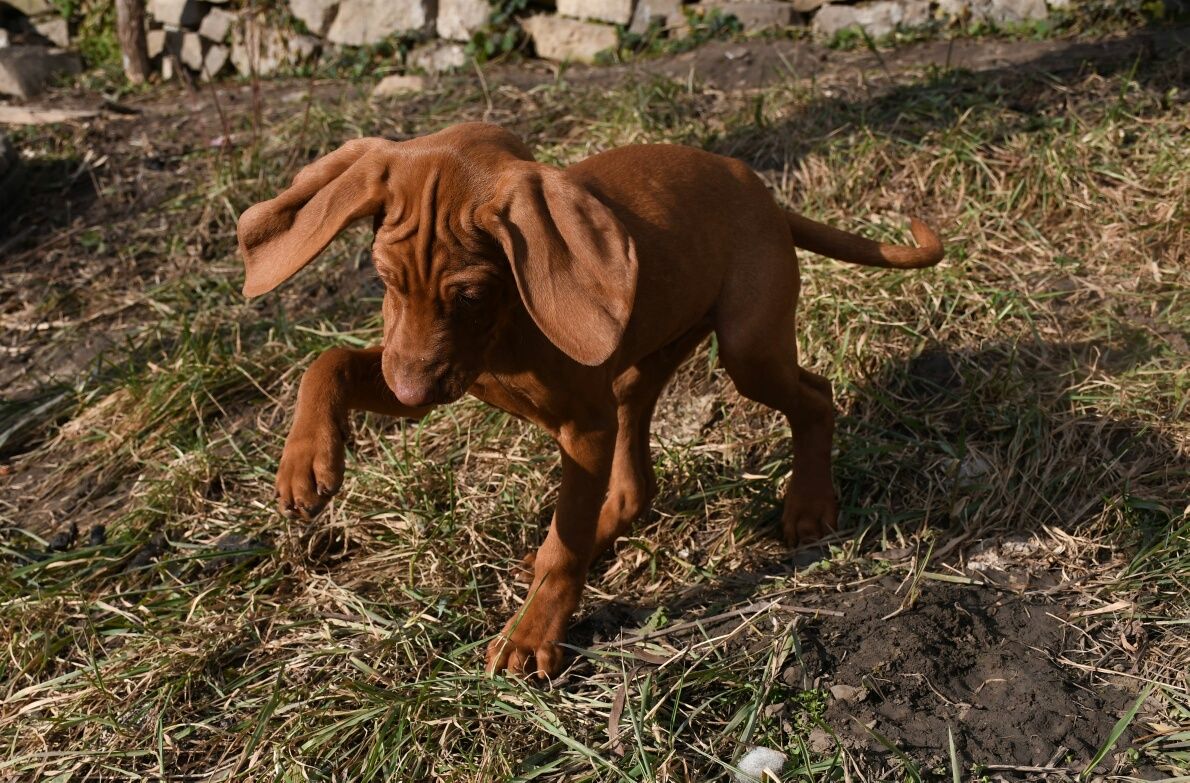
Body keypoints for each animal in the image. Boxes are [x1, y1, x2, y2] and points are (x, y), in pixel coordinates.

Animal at [236, 121, 942, 675]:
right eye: (384, 279)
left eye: (469, 295)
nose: (410, 383)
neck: (508, 326)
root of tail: (760, 191)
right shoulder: (426, 373)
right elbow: (328, 362)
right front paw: (305, 463)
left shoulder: (580, 427)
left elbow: (566, 543)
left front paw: (533, 634)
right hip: (646, 362)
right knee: (635, 478)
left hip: (749, 350)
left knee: (815, 396)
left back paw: (809, 504)